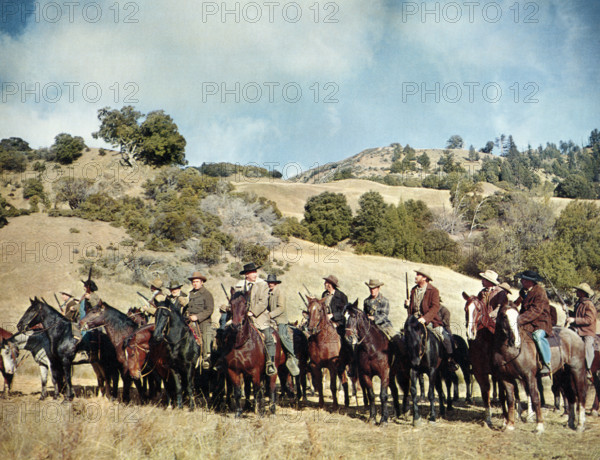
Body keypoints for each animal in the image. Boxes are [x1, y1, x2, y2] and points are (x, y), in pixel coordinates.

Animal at [225, 290, 286, 418]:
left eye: (245, 304)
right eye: (231, 303)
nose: (236, 325)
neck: (240, 344)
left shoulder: (255, 371)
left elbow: (257, 390)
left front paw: (261, 412)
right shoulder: (233, 371)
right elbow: (238, 391)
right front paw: (238, 413)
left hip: (273, 369)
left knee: (271, 387)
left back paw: (272, 410)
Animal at [494, 302, 588, 432]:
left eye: (518, 317)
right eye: (504, 316)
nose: (515, 341)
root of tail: (575, 335)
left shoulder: (529, 376)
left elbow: (535, 397)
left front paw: (539, 426)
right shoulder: (506, 378)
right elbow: (510, 400)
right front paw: (510, 425)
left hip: (577, 370)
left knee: (581, 393)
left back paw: (580, 425)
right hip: (564, 375)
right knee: (571, 396)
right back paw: (570, 422)